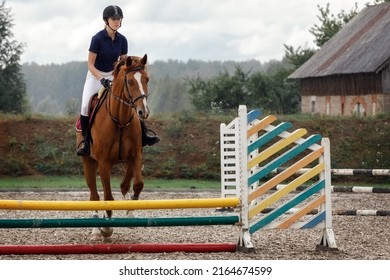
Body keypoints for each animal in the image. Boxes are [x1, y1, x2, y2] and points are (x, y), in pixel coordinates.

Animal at [76, 54, 149, 241]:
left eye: (147, 79)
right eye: (130, 81)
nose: (143, 112)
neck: (120, 119)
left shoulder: (135, 155)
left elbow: (137, 184)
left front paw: (130, 213)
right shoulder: (104, 163)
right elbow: (108, 196)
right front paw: (106, 228)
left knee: (124, 184)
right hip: (88, 162)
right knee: (94, 196)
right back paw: (96, 230)